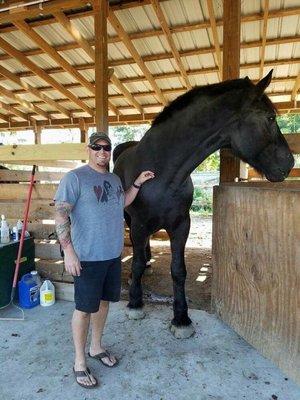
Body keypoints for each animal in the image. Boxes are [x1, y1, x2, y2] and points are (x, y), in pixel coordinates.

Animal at [113, 72, 294, 338]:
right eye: (270, 117)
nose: (289, 163)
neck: (161, 170)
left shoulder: (181, 225)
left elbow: (178, 271)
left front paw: (181, 318)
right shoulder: (138, 224)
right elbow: (134, 263)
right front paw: (135, 304)